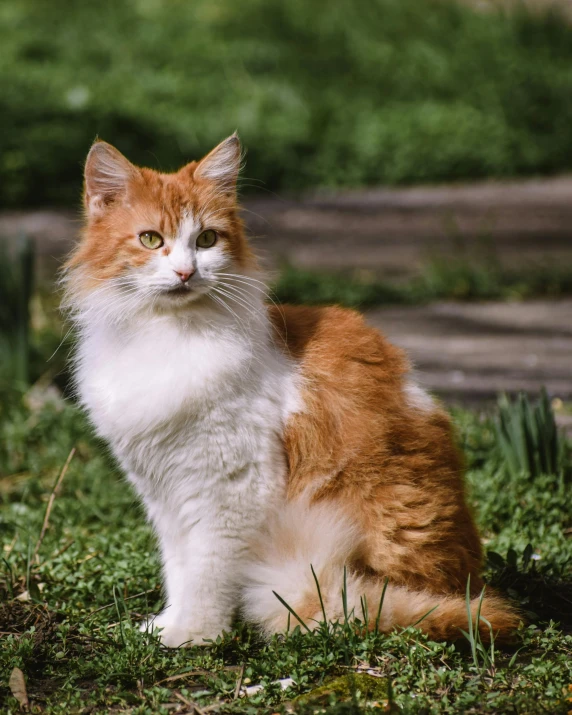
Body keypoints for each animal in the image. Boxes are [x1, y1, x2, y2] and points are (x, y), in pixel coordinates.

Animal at [62, 133, 520, 648]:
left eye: (206, 240)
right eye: (150, 240)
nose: (185, 273)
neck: (166, 335)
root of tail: (465, 585)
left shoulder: (230, 489)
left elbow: (205, 574)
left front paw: (195, 636)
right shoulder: (164, 491)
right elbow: (179, 568)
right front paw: (167, 625)